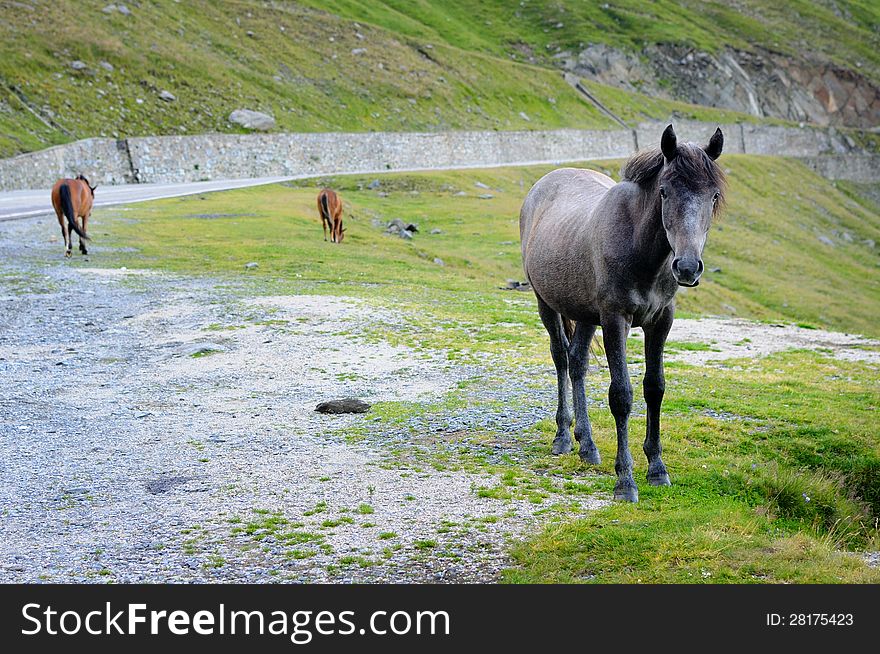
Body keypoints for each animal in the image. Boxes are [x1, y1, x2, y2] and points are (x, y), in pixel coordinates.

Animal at [520, 125, 724, 504]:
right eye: (664, 191)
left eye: (713, 195)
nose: (688, 267)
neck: (640, 249)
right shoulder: (616, 320)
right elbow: (622, 395)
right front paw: (625, 481)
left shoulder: (661, 322)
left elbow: (654, 388)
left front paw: (657, 468)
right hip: (546, 303)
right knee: (560, 359)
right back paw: (562, 437)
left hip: (586, 314)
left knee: (577, 363)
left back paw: (587, 445)